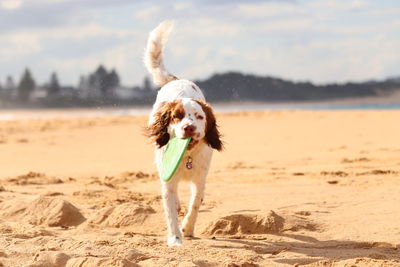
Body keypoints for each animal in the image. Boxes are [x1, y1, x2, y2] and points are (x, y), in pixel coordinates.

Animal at [144, 21, 223, 247]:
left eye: (199, 116)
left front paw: (187, 228)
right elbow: (170, 210)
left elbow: (195, 203)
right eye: (177, 117)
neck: (186, 155)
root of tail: (176, 80)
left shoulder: (200, 179)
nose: (189, 127)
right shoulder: (168, 181)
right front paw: (176, 239)